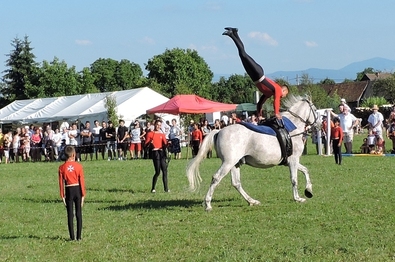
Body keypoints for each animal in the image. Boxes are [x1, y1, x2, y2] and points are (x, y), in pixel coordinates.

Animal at [186, 94, 318, 211]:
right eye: (316, 110)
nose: (318, 125)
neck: (293, 128)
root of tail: (219, 131)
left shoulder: (290, 161)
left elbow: (306, 170)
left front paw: (309, 190)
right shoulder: (293, 160)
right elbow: (294, 179)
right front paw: (298, 198)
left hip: (235, 163)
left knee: (236, 183)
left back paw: (252, 201)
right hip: (228, 163)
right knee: (216, 178)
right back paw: (208, 204)